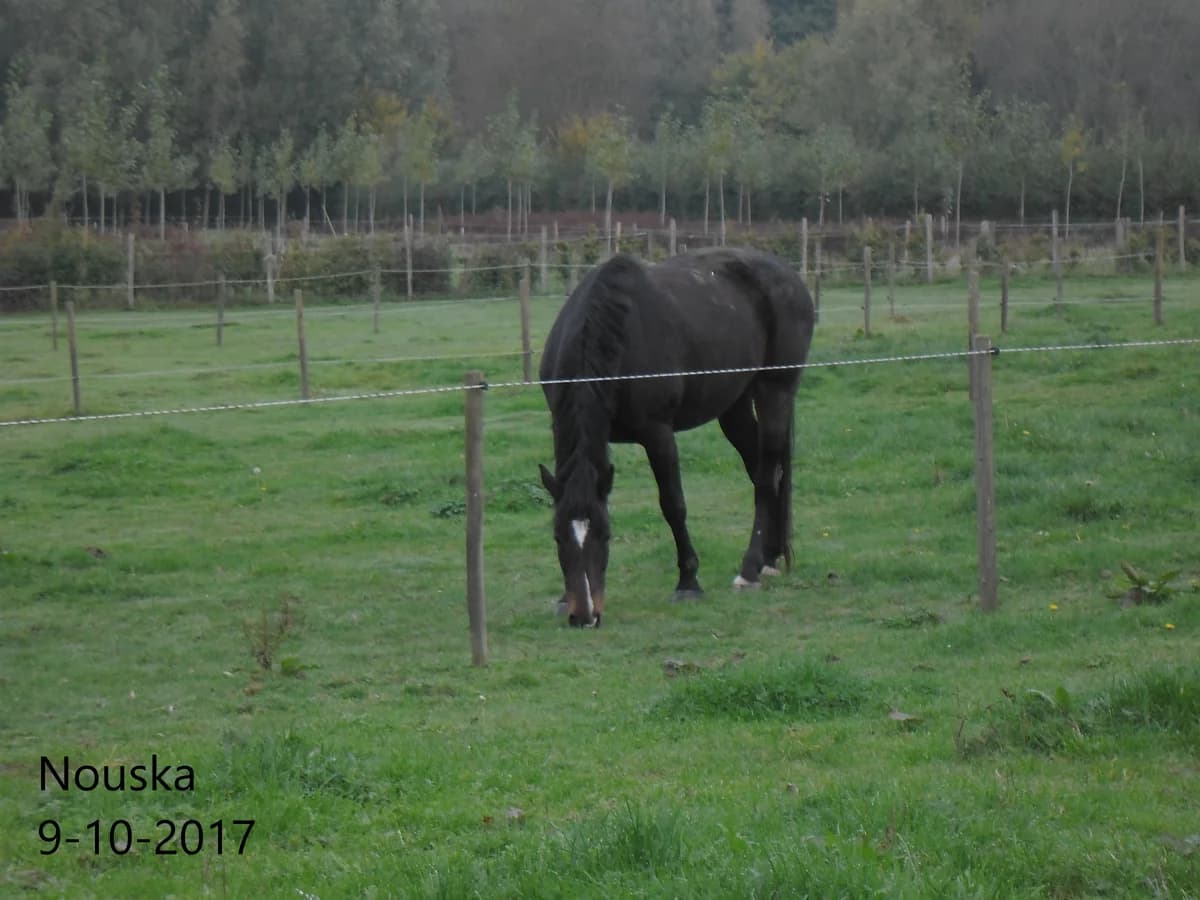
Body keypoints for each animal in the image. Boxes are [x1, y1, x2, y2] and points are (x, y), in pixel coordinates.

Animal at [538, 248, 816, 627]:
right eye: (556, 536)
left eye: (605, 534)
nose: (585, 616)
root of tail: (789, 276)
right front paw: (562, 598)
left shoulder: (658, 434)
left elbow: (673, 505)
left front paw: (688, 582)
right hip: (735, 406)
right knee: (764, 470)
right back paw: (769, 558)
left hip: (776, 391)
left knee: (766, 476)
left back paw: (750, 570)